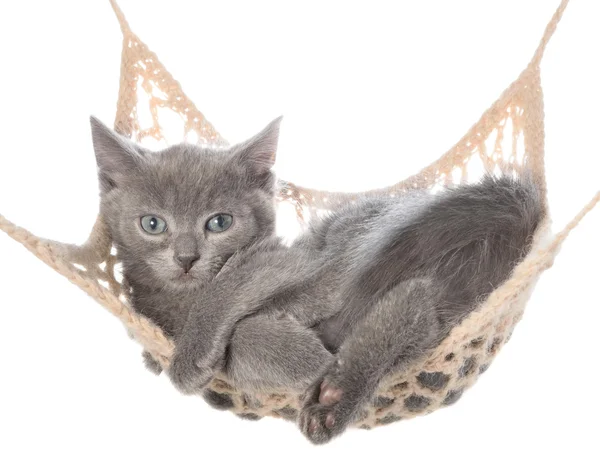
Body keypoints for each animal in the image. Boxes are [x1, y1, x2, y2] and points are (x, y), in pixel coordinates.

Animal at [91, 118, 548, 444]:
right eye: (152, 224)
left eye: (219, 222)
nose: (186, 258)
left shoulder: (301, 264)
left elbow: (234, 289)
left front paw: (202, 355)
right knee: (420, 305)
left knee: (409, 303)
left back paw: (334, 390)